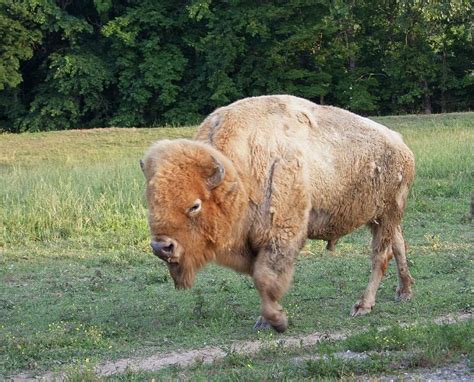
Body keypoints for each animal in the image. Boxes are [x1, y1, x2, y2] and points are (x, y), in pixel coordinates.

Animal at [141, 95, 414, 332]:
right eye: (151, 201)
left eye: (195, 205)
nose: (162, 247)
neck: (236, 176)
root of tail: (401, 144)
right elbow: (260, 279)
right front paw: (266, 319)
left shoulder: (279, 236)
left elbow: (265, 278)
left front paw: (276, 321)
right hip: (382, 218)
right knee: (398, 245)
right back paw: (404, 292)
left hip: (386, 215)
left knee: (380, 256)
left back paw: (363, 306)